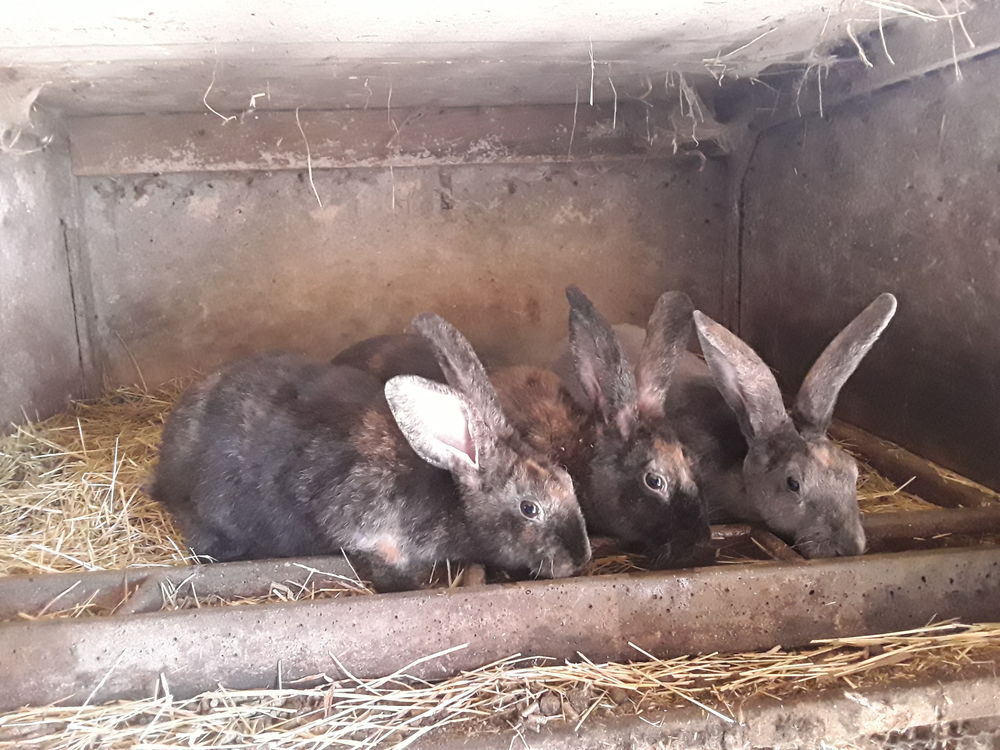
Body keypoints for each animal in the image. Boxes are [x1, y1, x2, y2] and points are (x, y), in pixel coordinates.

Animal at [150, 313, 591, 593]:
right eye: (529, 508)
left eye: (567, 479)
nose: (581, 556)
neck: (453, 493)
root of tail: (164, 473)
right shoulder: (379, 544)